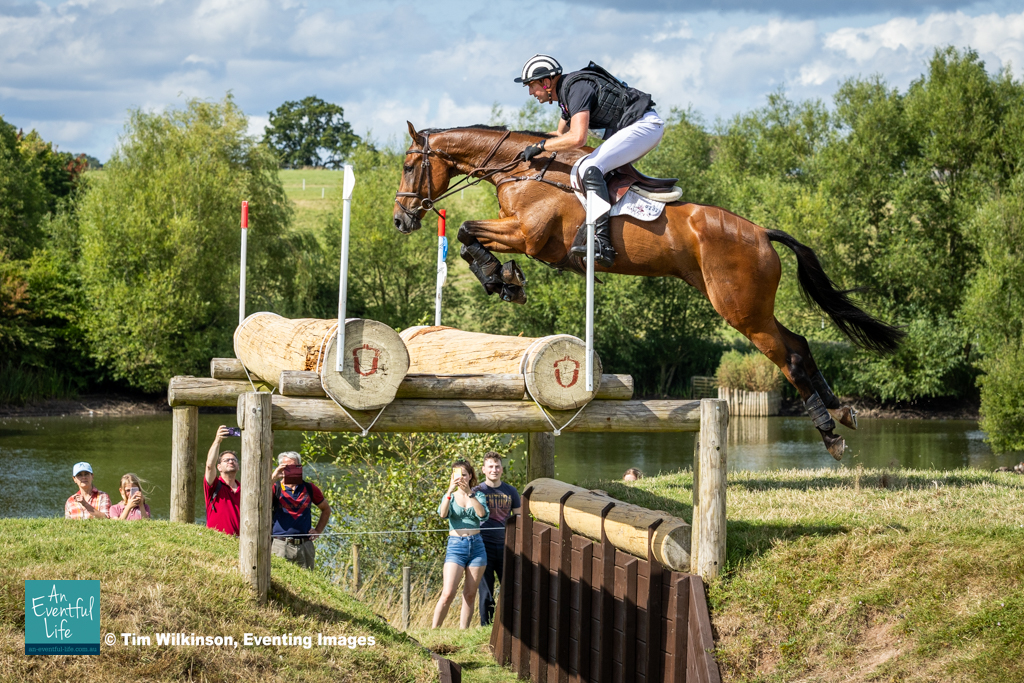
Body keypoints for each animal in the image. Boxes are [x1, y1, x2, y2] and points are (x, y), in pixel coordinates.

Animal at [392, 122, 904, 460]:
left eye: (409, 165)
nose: (401, 219)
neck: (524, 171)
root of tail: (761, 233)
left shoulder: (529, 235)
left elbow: (465, 229)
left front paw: (503, 279)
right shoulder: (519, 234)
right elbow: (468, 236)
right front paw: (505, 280)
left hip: (739, 308)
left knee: (790, 357)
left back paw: (831, 435)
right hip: (748, 304)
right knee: (798, 344)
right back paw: (841, 411)